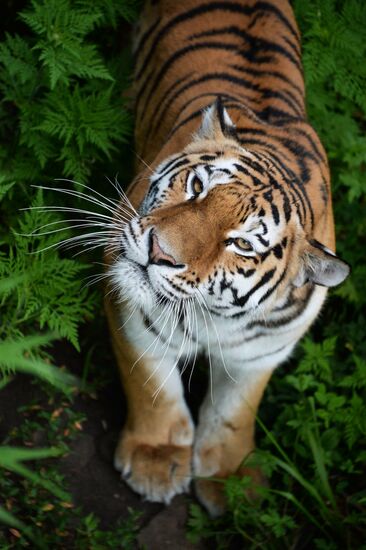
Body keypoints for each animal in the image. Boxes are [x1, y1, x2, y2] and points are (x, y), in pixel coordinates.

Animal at [103, 0, 348, 516]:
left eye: (243, 244)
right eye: (198, 186)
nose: (159, 251)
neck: (213, 315)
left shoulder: (264, 349)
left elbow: (235, 412)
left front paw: (233, 481)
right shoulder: (132, 312)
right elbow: (151, 386)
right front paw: (156, 459)